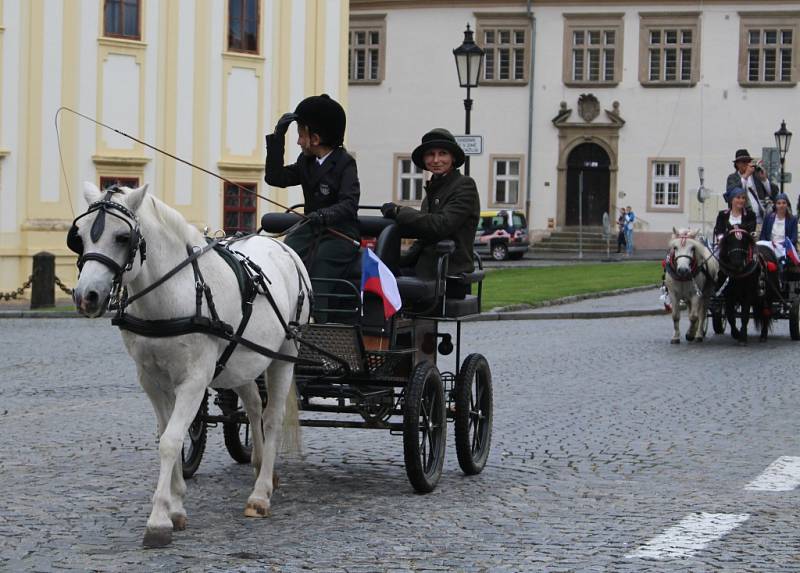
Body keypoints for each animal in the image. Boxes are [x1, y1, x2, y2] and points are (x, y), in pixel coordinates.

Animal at [67, 182, 310, 544]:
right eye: (79, 236)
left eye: (122, 237)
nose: (87, 297)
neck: (172, 295)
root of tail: (282, 247)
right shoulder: (152, 380)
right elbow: (168, 434)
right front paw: (177, 506)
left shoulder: (194, 380)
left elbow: (171, 441)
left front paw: (159, 519)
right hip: (241, 361)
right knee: (253, 406)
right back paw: (257, 463)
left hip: (285, 354)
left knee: (272, 418)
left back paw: (261, 493)